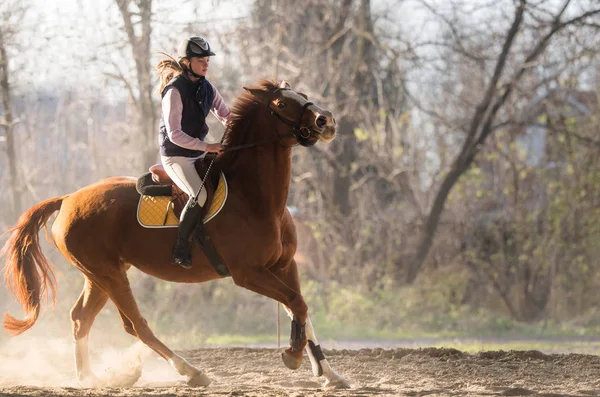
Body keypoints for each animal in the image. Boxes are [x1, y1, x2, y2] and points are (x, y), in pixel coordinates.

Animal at [3, 79, 352, 386]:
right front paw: (293, 355)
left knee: (81, 319)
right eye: (281, 104)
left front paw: (328, 374)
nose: (327, 120)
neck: (255, 197)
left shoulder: (284, 265)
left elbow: (300, 307)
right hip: (108, 275)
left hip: (100, 275)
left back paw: (89, 378)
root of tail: (67, 199)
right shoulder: (249, 273)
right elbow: (297, 304)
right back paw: (190, 371)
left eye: (302, 95)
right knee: (136, 325)